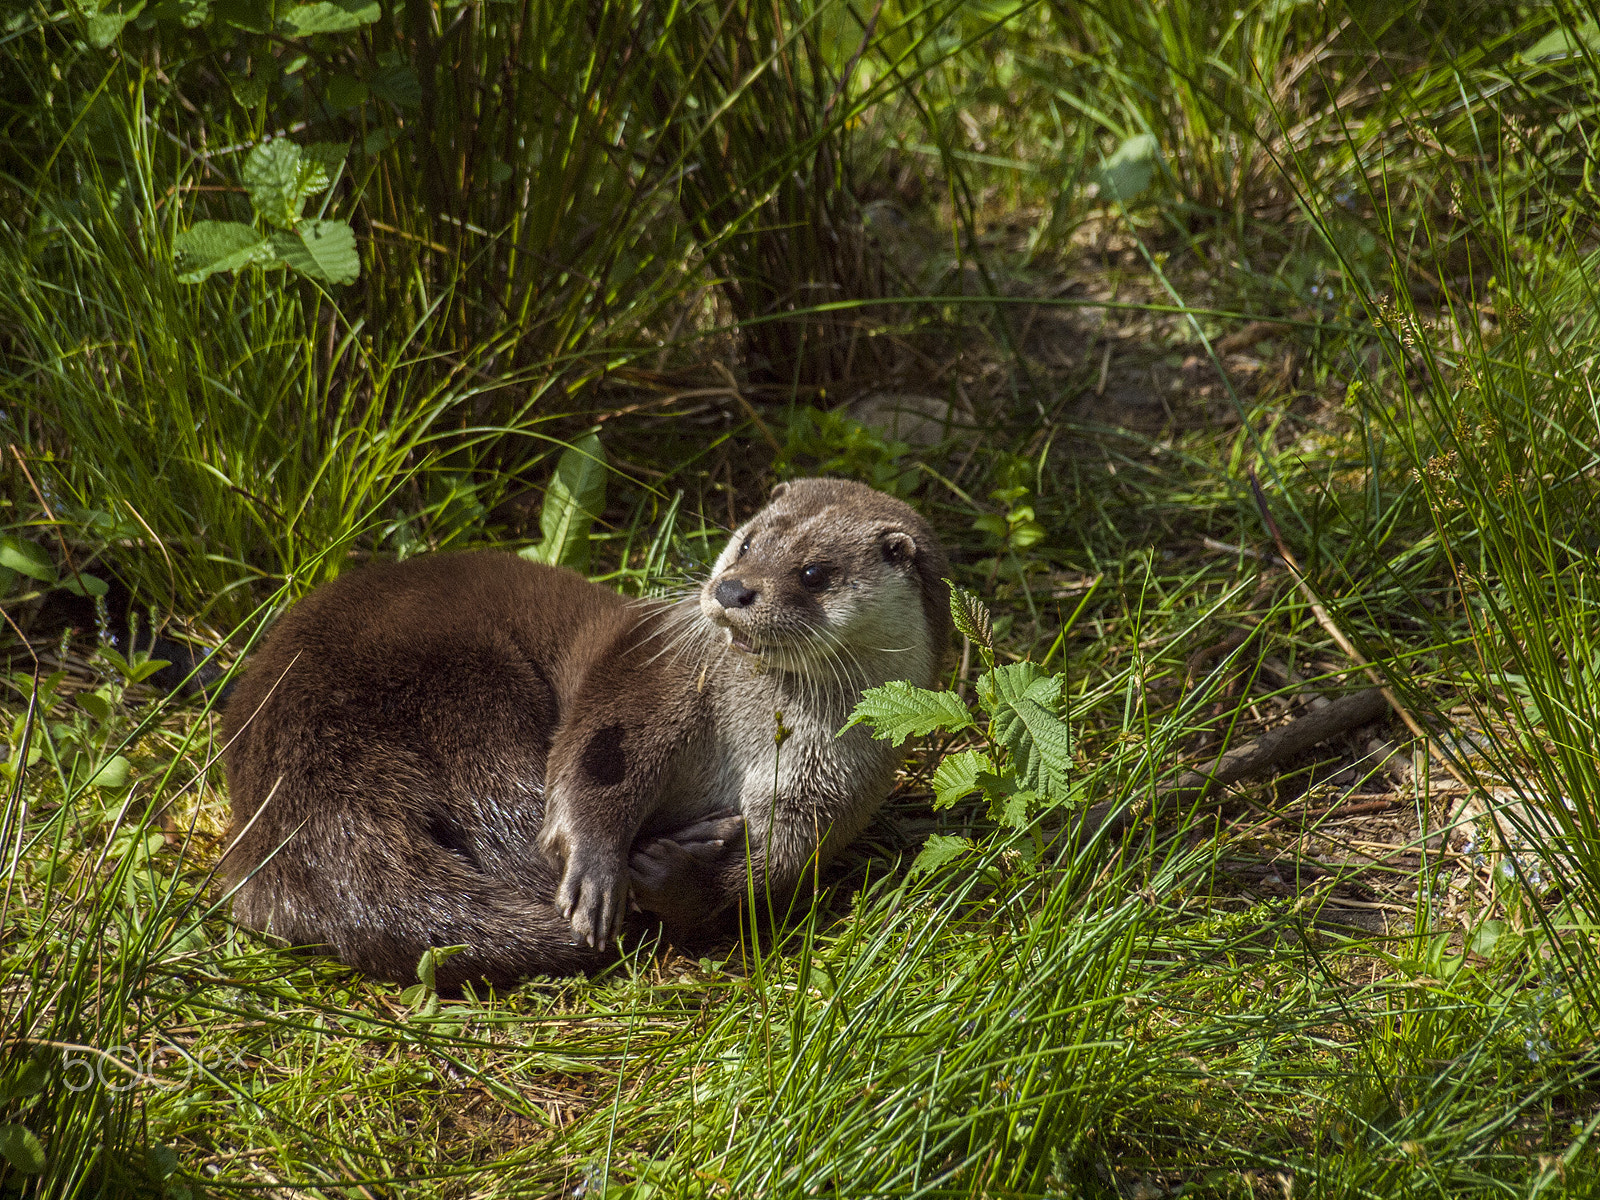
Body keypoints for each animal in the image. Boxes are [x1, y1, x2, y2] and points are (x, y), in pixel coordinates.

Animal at [221, 478, 950, 992]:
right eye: (747, 544)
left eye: (812, 573)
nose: (732, 589)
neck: (757, 731)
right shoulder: (656, 676)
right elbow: (596, 765)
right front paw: (602, 867)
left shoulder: (832, 791)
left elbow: (773, 868)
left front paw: (675, 875)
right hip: (468, 684)